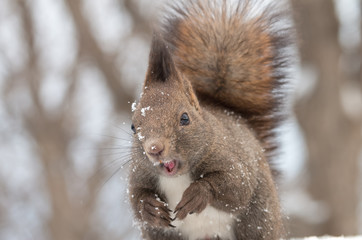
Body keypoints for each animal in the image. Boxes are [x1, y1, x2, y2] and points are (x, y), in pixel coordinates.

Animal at [127, 0, 292, 240]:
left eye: (184, 118)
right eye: (133, 126)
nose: (154, 149)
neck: (178, 177)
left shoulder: (234, 161)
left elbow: (236, 187)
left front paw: (198, 194)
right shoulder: (139, 174)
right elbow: (136, 199)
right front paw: (150, 208)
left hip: (257, 222)